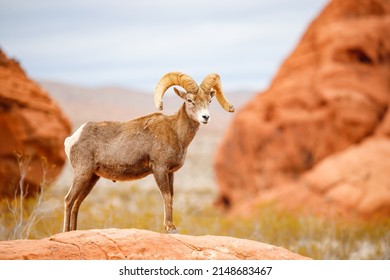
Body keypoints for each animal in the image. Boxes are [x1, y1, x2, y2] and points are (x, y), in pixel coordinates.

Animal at [63, 71, 235, 232]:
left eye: (209, 101)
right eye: (189, 100)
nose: (205, 117)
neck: (175, 132)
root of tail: (73, 138)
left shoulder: (170, 172)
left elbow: (171, 197)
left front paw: (171, 226)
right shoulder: (159, 169)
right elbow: (166, 196)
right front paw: (170, 227)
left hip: (92, 178)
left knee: (77, 202)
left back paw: (74, 231)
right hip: (82, 173)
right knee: (69, 200)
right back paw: (66, 231)